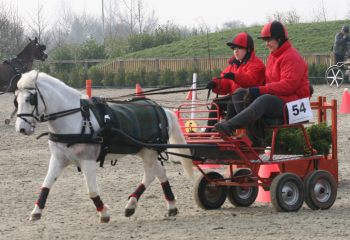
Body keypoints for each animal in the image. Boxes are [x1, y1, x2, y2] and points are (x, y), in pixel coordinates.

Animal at [15, 70, 193, 222]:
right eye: (16, 100)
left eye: (30, 99)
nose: (21, 129)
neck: (75, 118)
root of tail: (161, 109)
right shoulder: (58, 159)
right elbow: (46, 184)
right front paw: (36, 211)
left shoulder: (87, 160)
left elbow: (92, 190)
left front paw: (104, 213)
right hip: (144, 150)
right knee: (160, 172)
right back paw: (171, 206)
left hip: (149, 151)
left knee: (149, 175)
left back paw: (131, 205)